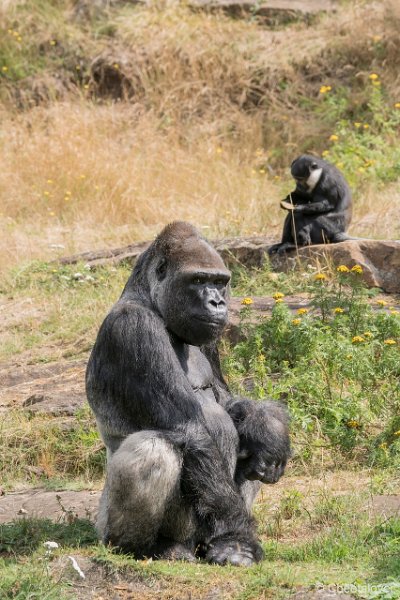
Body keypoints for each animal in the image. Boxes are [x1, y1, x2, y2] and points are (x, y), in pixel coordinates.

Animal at [86, 221, 290, 568]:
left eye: (219, 282)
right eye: (197, 280)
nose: (218, 303)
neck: (149, 299)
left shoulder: (210, 336)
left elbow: (227, 402)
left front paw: (267, 427)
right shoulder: (136, 328)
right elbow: (190, 430)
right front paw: (238, 539)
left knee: (249, 453)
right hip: (107, 527)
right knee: (155, 450)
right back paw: (150, 547)